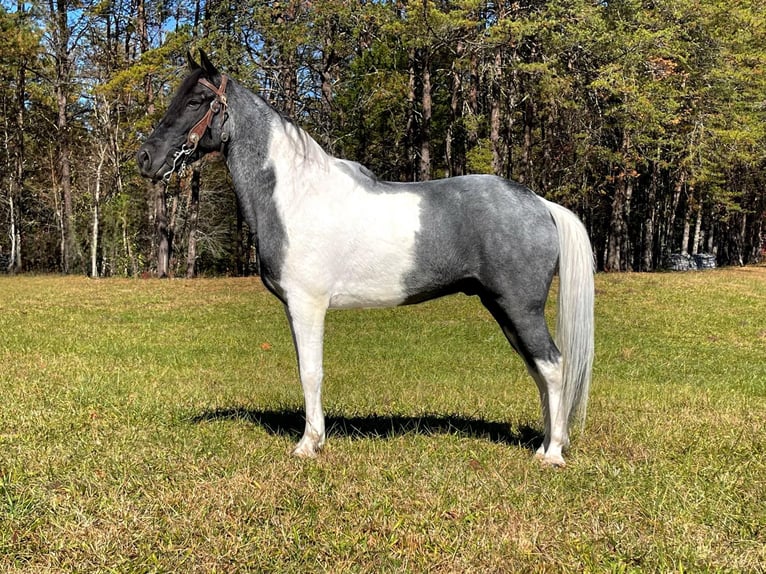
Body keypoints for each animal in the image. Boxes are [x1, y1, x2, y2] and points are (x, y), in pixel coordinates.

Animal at [138, 50, 596, 468]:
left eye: (196, 101)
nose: (145, 158)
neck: (295, 195)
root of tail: (540, 203)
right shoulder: (296, 308)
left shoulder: (308, 305)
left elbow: (311, 372)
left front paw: (309, 444)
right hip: (504, 309)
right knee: (539, 371)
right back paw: (543, 445)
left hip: (520, 308)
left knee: (553, 367)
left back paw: (553, 454)